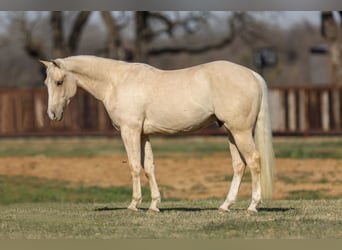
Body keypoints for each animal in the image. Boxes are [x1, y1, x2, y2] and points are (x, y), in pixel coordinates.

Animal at [40, 55, 276, 214]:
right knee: (239, 165)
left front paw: (134, 204)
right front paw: (154, 205)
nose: (53, 114)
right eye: (46, 83)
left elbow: (134, 166)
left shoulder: (130, 131)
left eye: (59, 82)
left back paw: (253, 206)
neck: (117, 81)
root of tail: (252, 74)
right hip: (231, 132)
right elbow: (149, 167)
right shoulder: (144, 135)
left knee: (254, 161)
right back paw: (225, 206)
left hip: (240, 131)